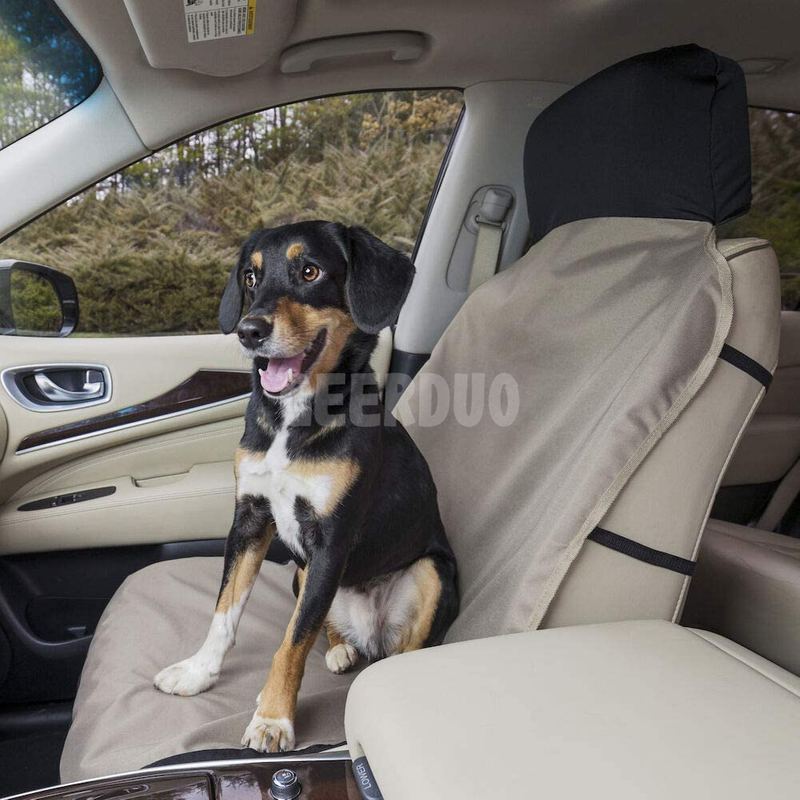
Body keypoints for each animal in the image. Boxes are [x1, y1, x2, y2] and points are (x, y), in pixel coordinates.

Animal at [154, 222, 460, 752]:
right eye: (250, 276)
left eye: (310, 271)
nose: (248, 331)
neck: (293, 419)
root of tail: (370, 632)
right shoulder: (250, 520)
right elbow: (224, 612)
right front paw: (197, 673)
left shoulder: (331, 542)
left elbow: (292, 642)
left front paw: (274, 719)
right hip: (299, 573)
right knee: (325, 625)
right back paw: (340, 649)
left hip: (431, 572)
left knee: (402, 648)